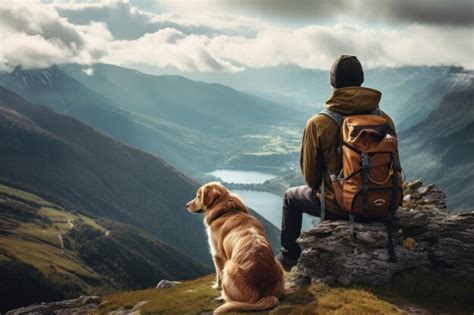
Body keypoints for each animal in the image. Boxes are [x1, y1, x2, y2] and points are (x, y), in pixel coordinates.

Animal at [186, 183, 288, 314]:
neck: (227, 211)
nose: (186, 205)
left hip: (229, 267)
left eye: (198, 196)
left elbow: (218, 275)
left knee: (229, 296)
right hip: (279, 266)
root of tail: (264, 294)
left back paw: (222, 297)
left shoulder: (216, 254)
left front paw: (216, 286)